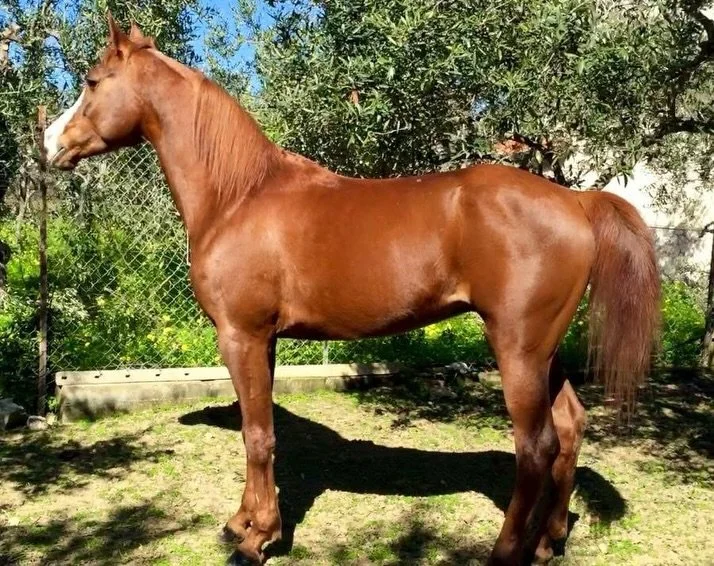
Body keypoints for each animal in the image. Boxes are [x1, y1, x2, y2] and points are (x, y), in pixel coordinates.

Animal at [43, 14, 660, 565]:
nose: (48, 144)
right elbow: (255, 429)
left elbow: (258, 437)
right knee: (570, 428)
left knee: (536, 448)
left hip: (518, 349)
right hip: (544, 352)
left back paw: (506, 553)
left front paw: (256, 541)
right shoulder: (263, 341)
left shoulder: (241, 335)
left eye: (92, 81)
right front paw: (242, 523)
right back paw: (548, 543)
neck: (239, 196)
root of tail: (574, 200)